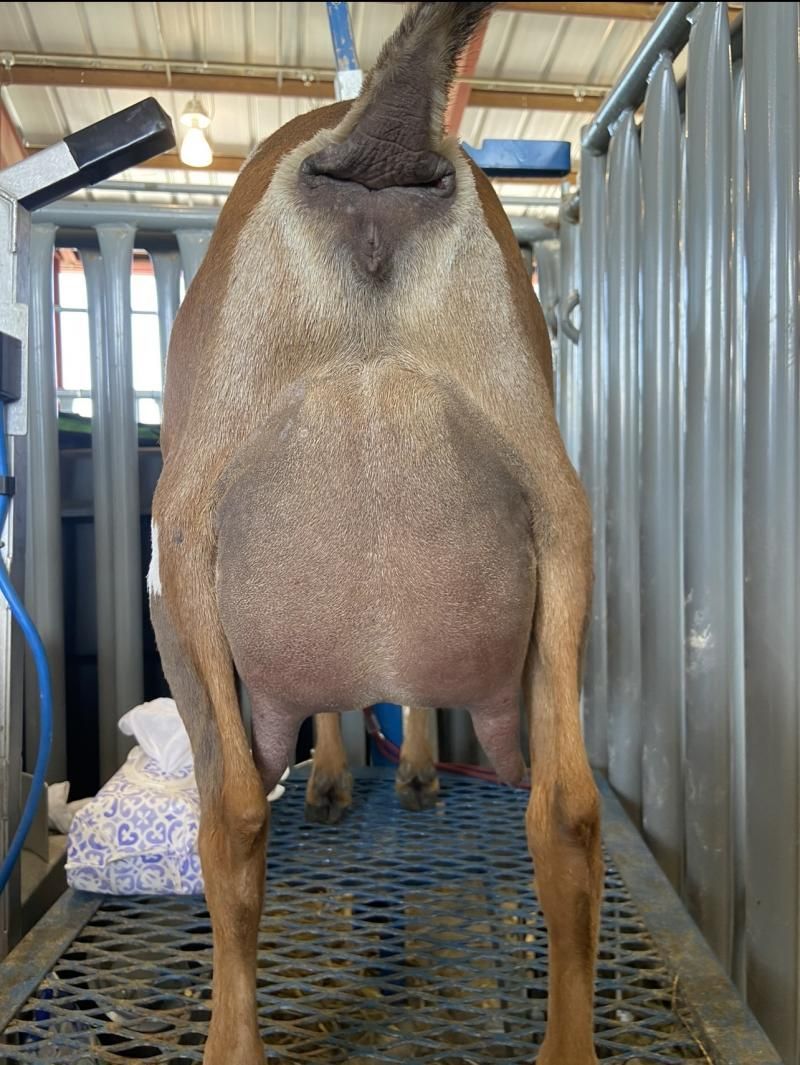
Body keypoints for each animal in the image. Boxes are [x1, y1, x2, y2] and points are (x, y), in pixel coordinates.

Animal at [148, 3, 600, 1062]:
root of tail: (373, 139)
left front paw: (339, 779)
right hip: (559, 517)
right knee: (565, 808)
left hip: (183, 546)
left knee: (232, 817)